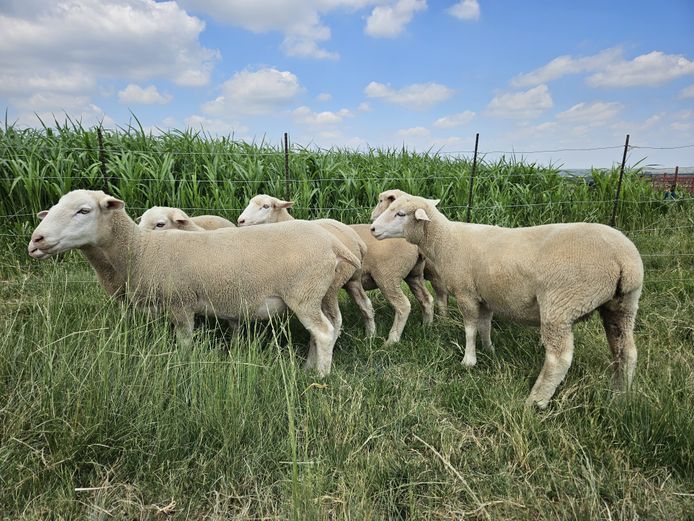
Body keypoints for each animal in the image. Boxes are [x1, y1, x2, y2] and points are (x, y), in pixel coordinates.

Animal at [29, 189, 362, 376]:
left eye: (83, 210)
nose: (35, 241)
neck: (141, 250)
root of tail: (332, 242)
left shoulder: (181, 303)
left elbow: (185, 341)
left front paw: (182, 364)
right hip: (320, 293)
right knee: (329, 329)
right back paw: (310, 366)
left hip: (304, 294)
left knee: (323, 332)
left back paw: (320, 376)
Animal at [239, 193, 436, 344]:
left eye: (265, 206)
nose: (240, 221)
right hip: (412, 274)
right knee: (426, 299)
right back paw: (423, 327)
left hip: (386, 276)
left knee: (402, 306)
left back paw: (391, 340)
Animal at [372, 194, 644, 406]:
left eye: (400, 213)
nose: (373, 229)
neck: (446, 240)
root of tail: (625, 260)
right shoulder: (486, 296)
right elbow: (484, 325)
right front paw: (489, 350)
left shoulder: (466, 292)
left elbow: (470, 328)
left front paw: (469, 361)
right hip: (624, 305)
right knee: (626, 351)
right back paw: (620, 395)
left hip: (560, 305)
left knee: (559, 358)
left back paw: (535, 401)